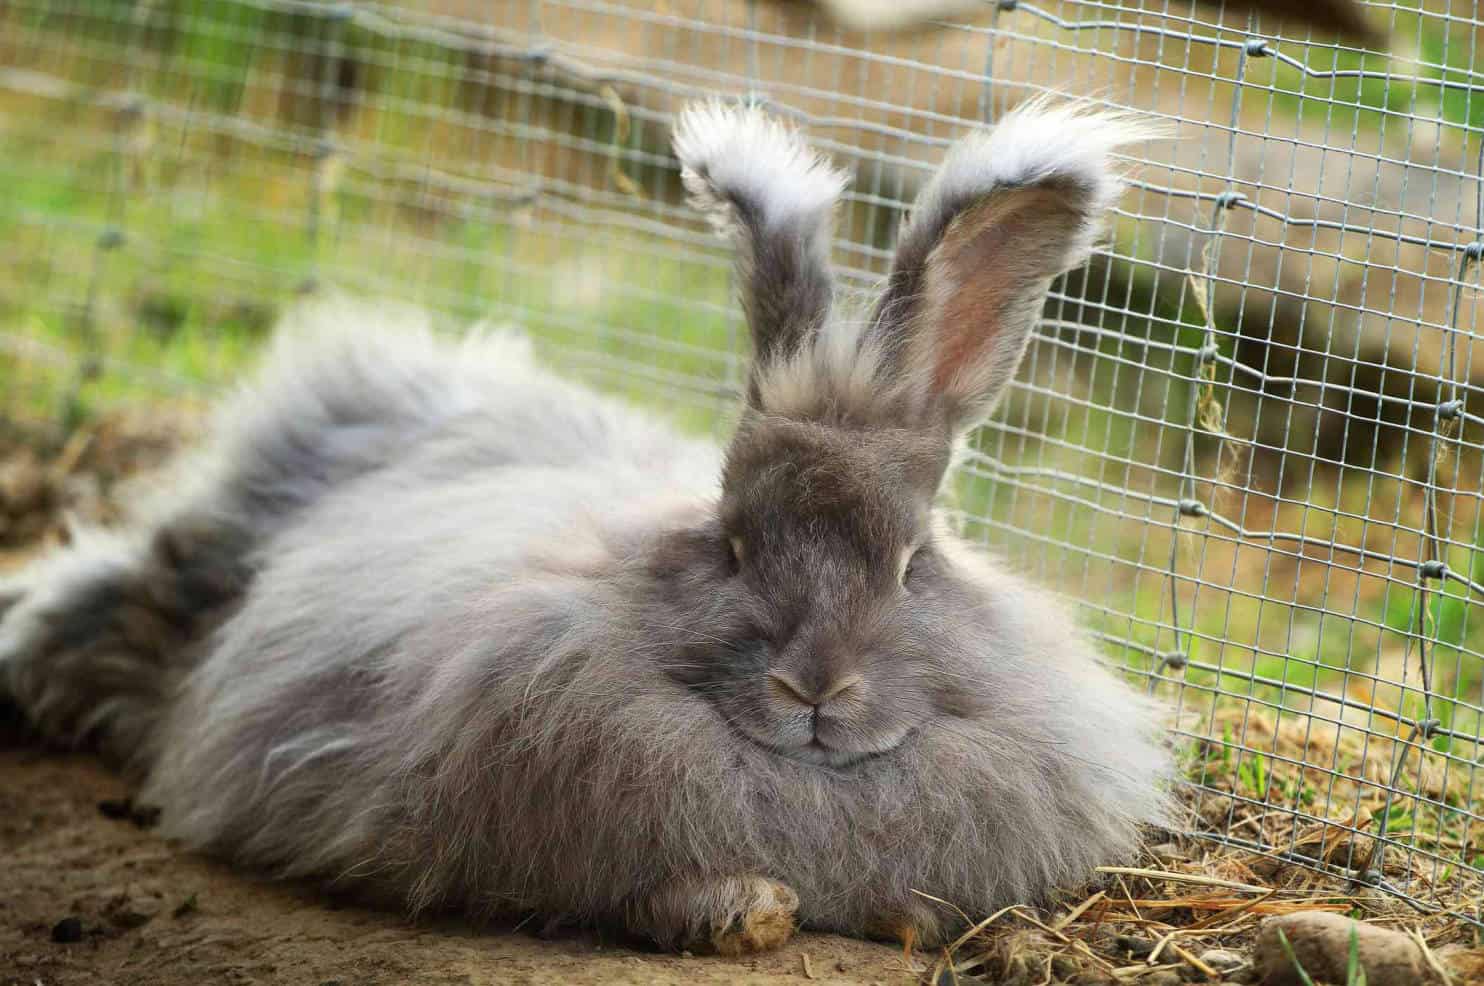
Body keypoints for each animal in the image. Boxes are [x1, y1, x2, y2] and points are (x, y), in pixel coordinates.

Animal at [5, 100, 1175, 956]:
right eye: (731, 544)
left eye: (910, 562)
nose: (814, 689)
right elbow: (649, 891)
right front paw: (747, 911)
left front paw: (906, 916)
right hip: (187, 569)